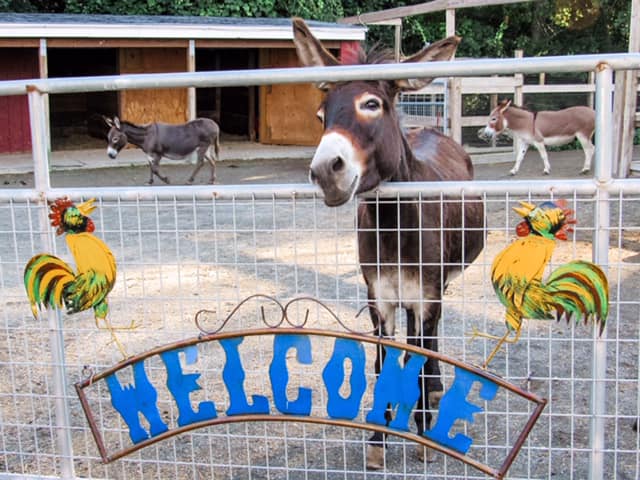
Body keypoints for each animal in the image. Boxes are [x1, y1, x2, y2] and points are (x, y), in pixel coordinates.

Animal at [292, 18, 485, 468]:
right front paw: (379, 438)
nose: (325, 172)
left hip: (437, 285)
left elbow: (419, 354)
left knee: (427, 342)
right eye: (322, 114)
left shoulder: (425, 293)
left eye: (371, 104)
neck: (393, 223)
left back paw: (432, 394)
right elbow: (383, 362)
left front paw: (423, 433)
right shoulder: (378, 297)